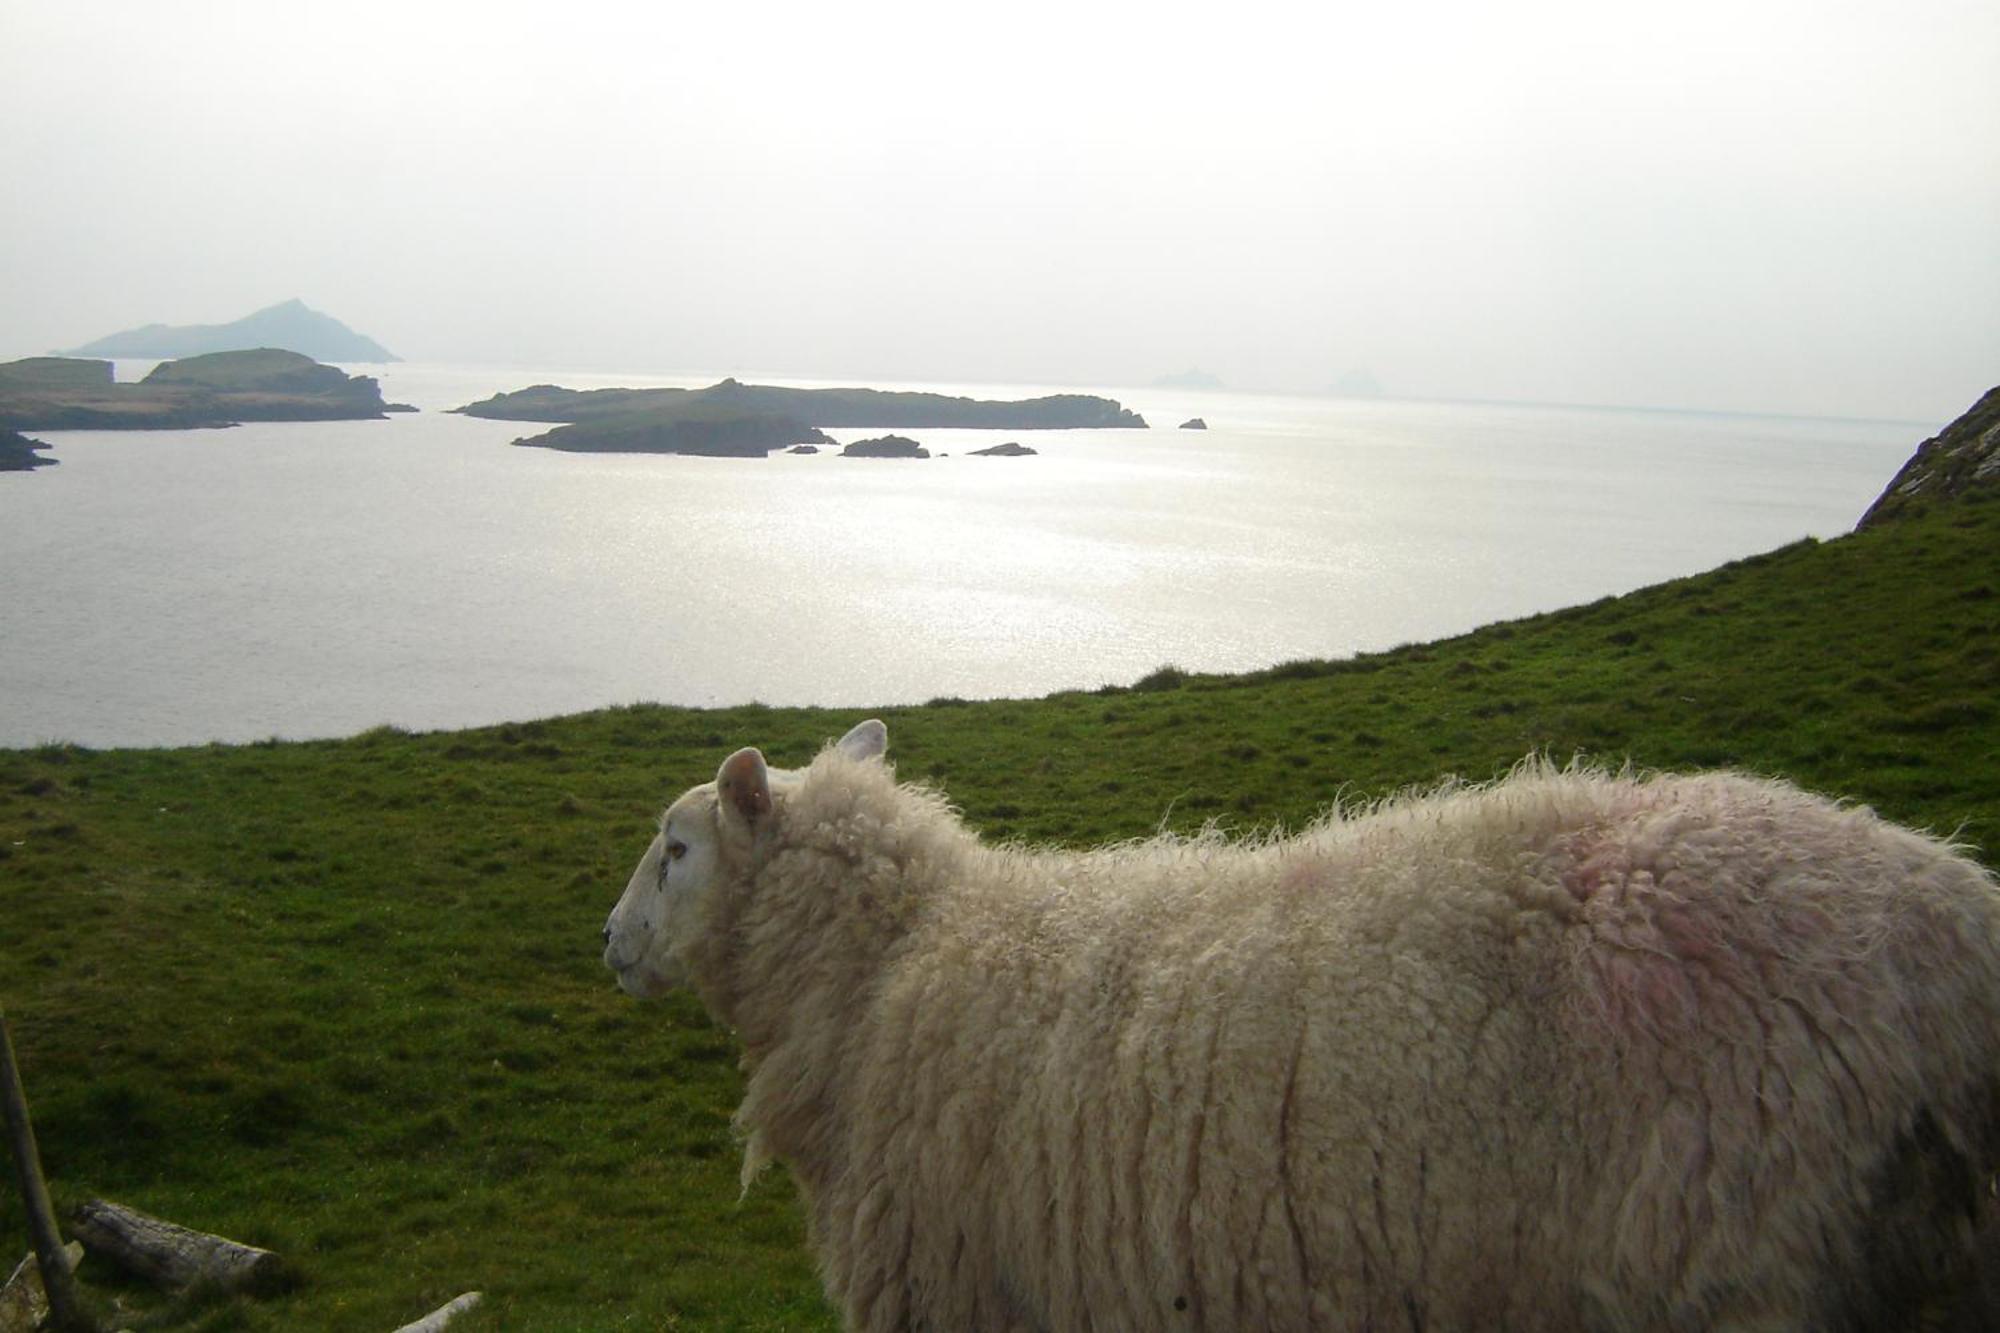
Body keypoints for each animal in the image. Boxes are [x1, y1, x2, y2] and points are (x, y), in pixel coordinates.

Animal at [600, 720, 2000, 1328]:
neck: (883, 971)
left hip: (1734, 1262)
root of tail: (1949, 921)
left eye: (674, 848)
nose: (607, 946)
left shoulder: (955, 1290)